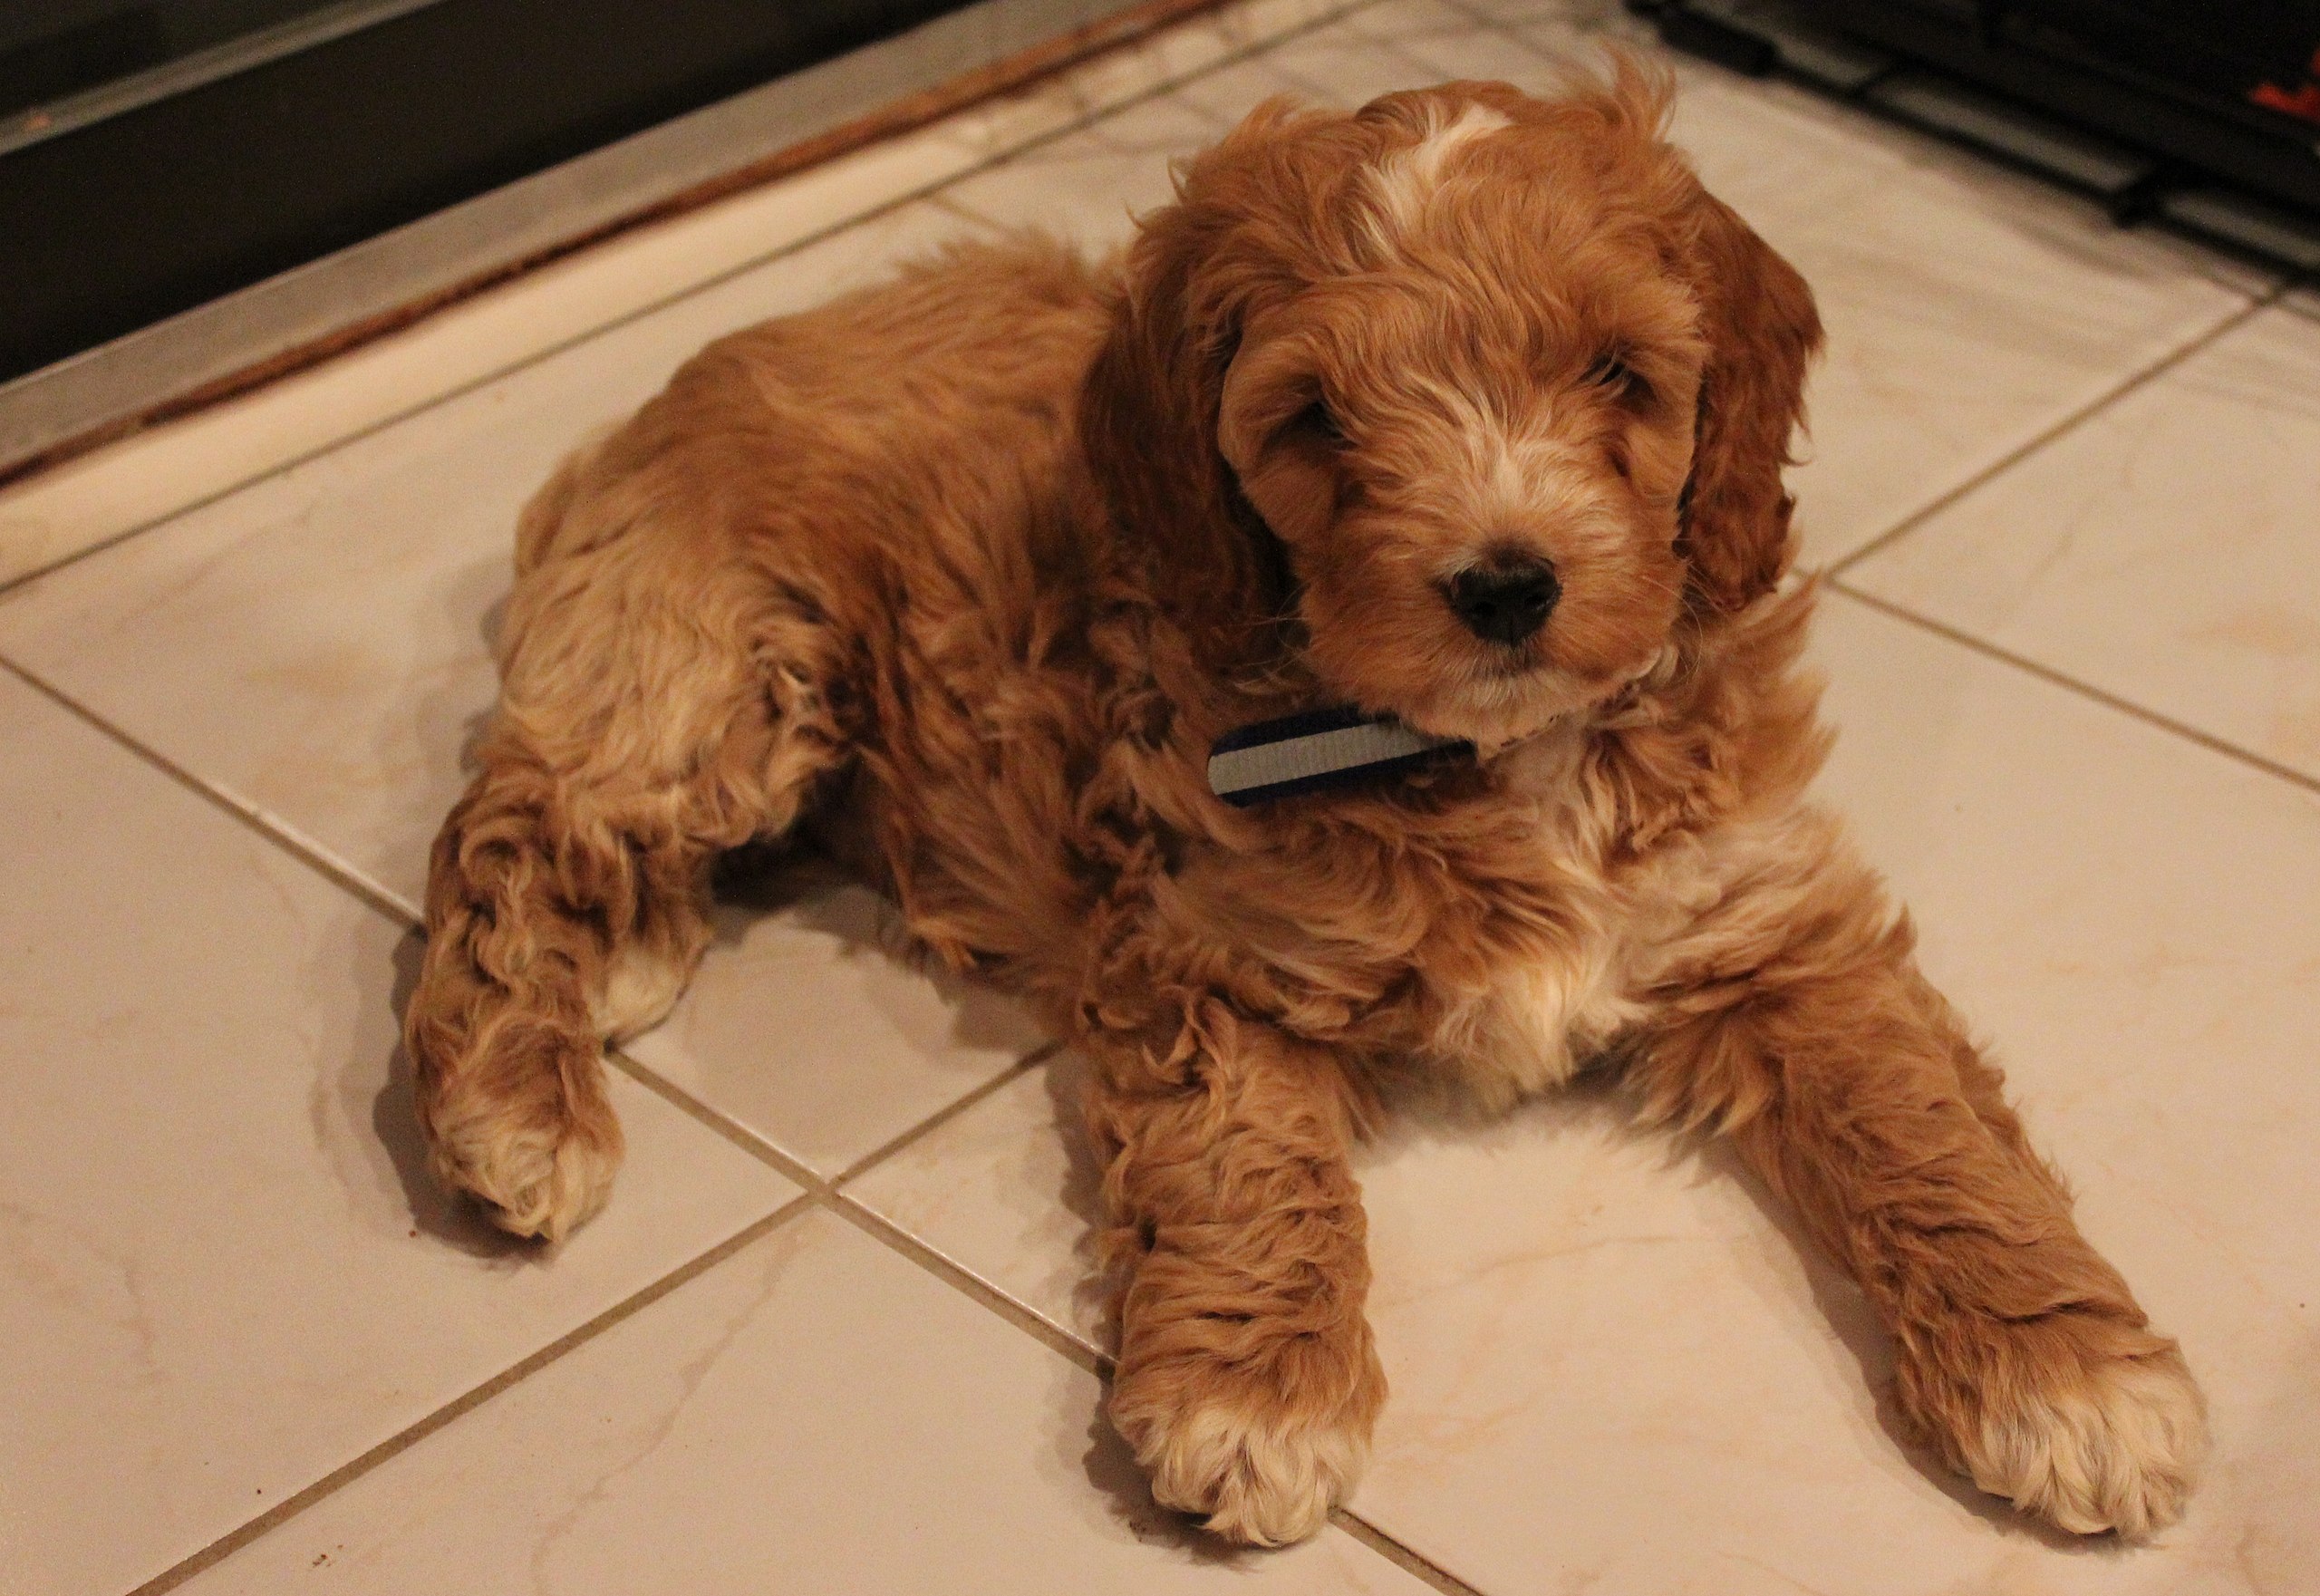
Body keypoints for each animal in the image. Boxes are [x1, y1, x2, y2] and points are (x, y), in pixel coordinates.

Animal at [408, 72, 2199, 1549]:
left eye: (1621, 372)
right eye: (1316, 417)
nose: (1507, 584)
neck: (1486, 755)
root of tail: (729, 347)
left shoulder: (1774, 921)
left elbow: (1926, 1128)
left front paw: (2068, 1373)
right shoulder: (1205, 948)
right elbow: (1244, 1159)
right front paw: (1257, 1394)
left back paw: (635, 955)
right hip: (710, 659)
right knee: (510, 836)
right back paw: (517, 1110)